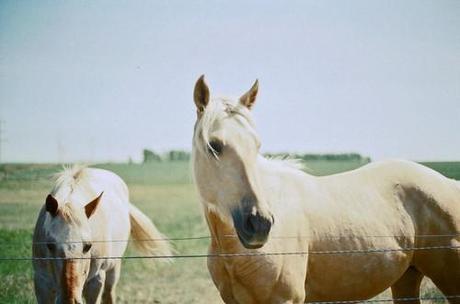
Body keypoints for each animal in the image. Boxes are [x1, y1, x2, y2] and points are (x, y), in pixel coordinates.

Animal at [32, 166, 172, 304]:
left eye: (88, 246)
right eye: (49, 245)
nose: (69, 300)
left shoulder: (96, 281)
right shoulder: (41, 282)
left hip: (113, 268)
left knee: (109, 294)